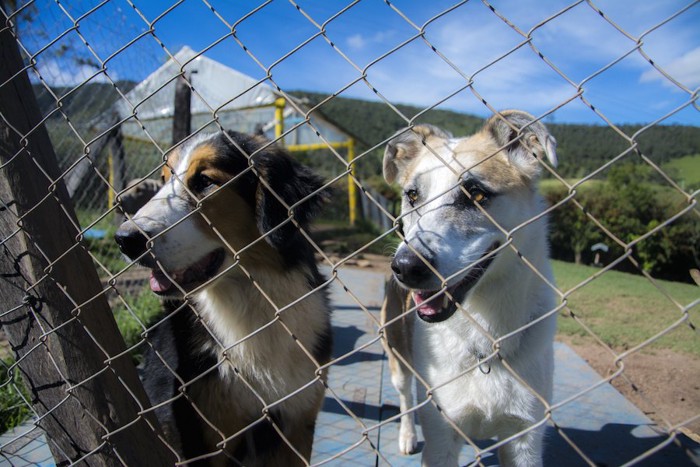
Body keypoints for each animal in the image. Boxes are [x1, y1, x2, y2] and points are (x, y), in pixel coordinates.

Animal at [380, 111, 560, 466]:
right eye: (412, 195)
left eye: (476, 194)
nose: (405, 267)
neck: (484, 336)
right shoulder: (440, 436)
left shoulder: (526, 439)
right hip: (397, 357)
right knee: (405, 398)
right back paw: (407, 435)